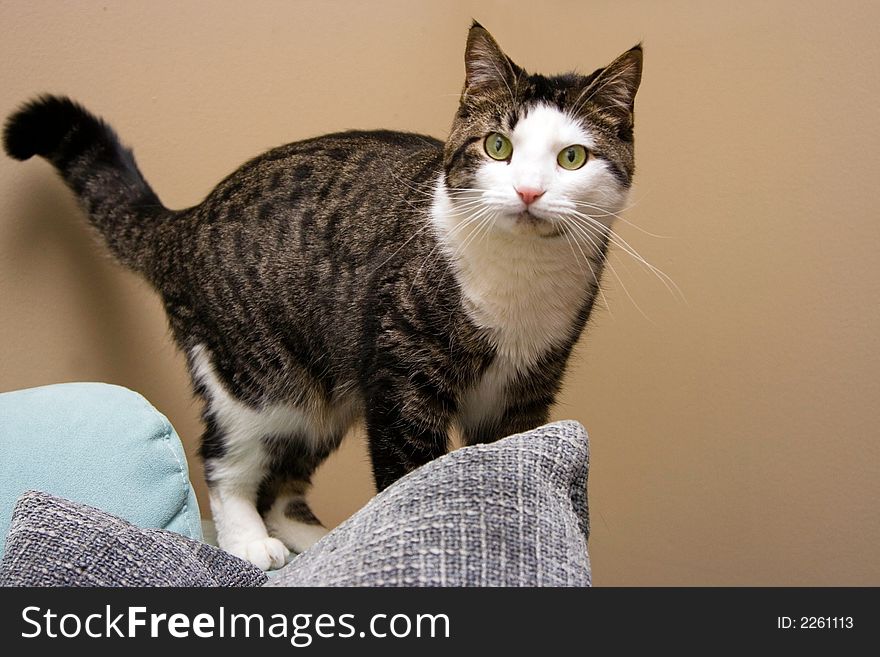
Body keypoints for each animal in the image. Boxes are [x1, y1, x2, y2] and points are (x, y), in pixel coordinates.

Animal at [3, 23, 644, 568]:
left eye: (572, 157)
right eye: (497, 146)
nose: (530, 192)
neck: (521, 277)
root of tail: (184, 222)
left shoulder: (528, 387)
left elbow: (514, 451)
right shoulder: (400, 374)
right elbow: (407, 468)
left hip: (325, 400)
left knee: (281, 486)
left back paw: (322, 538)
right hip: (261, 382)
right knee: (225, 460)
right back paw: (249, 541)